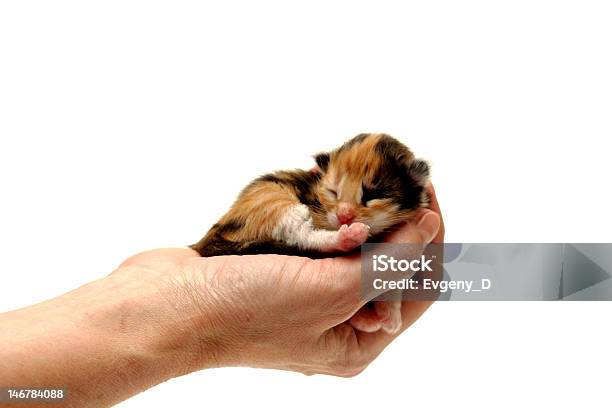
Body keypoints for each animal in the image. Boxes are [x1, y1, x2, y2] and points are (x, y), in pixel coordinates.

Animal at [192, 135, 430, 334]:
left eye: (373, 194)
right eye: (333, 191)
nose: (343, 217)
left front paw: (390, 316)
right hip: (271, 200)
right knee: (302, 236)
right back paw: (345, 239)